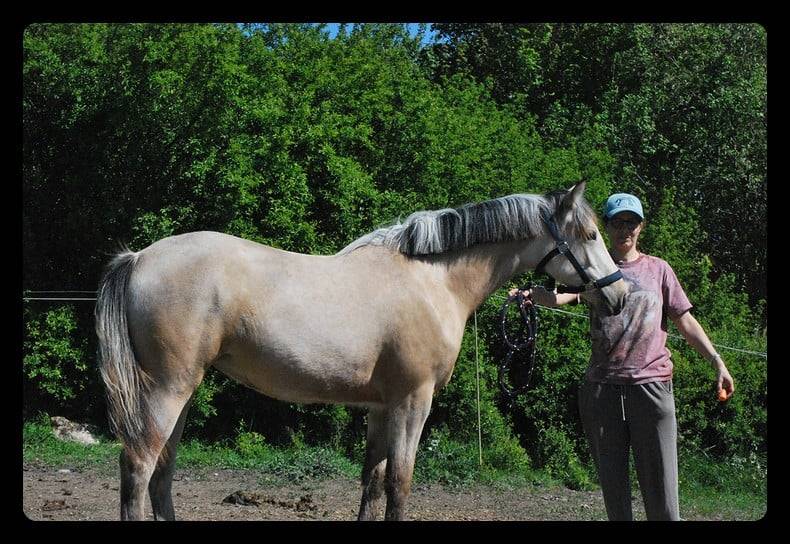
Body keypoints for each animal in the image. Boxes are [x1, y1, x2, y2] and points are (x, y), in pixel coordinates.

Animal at [95, 181, 627, 521]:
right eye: (589, 235)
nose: (619, 295)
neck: (432, 281)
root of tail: (139, 258)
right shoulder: (413, 403)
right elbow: (399, 485)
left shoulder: (379, 408)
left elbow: (372, 485)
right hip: (167, 391)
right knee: (138, 469)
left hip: (179, 393)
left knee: (161, 476)